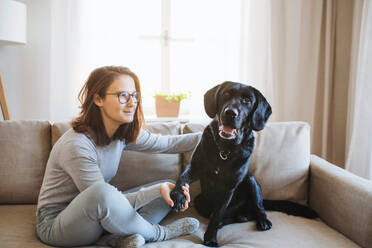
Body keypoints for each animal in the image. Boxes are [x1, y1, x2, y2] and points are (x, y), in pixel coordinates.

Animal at [170, 81, 316, 246]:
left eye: (247, 100)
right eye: (225, 94)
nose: (230, 113)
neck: (225, 150)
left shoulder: (228, 188)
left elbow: (217, 215)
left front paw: (211, 238)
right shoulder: (195, 167)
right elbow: (183, 177)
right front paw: (178, 195)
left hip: (251, 182)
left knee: (258, 208)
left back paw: (262, 221)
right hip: (200, 201)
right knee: (233, 216)